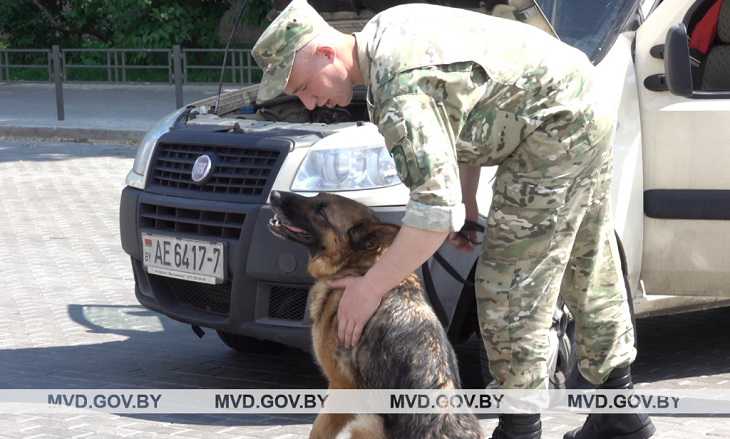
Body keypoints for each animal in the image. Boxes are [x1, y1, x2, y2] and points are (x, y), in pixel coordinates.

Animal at [264, 192, 480, 439]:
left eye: (322, 210)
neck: (359, 268)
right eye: (316, 196)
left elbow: (317, 431)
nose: (274, 194)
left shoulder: (339, 389)